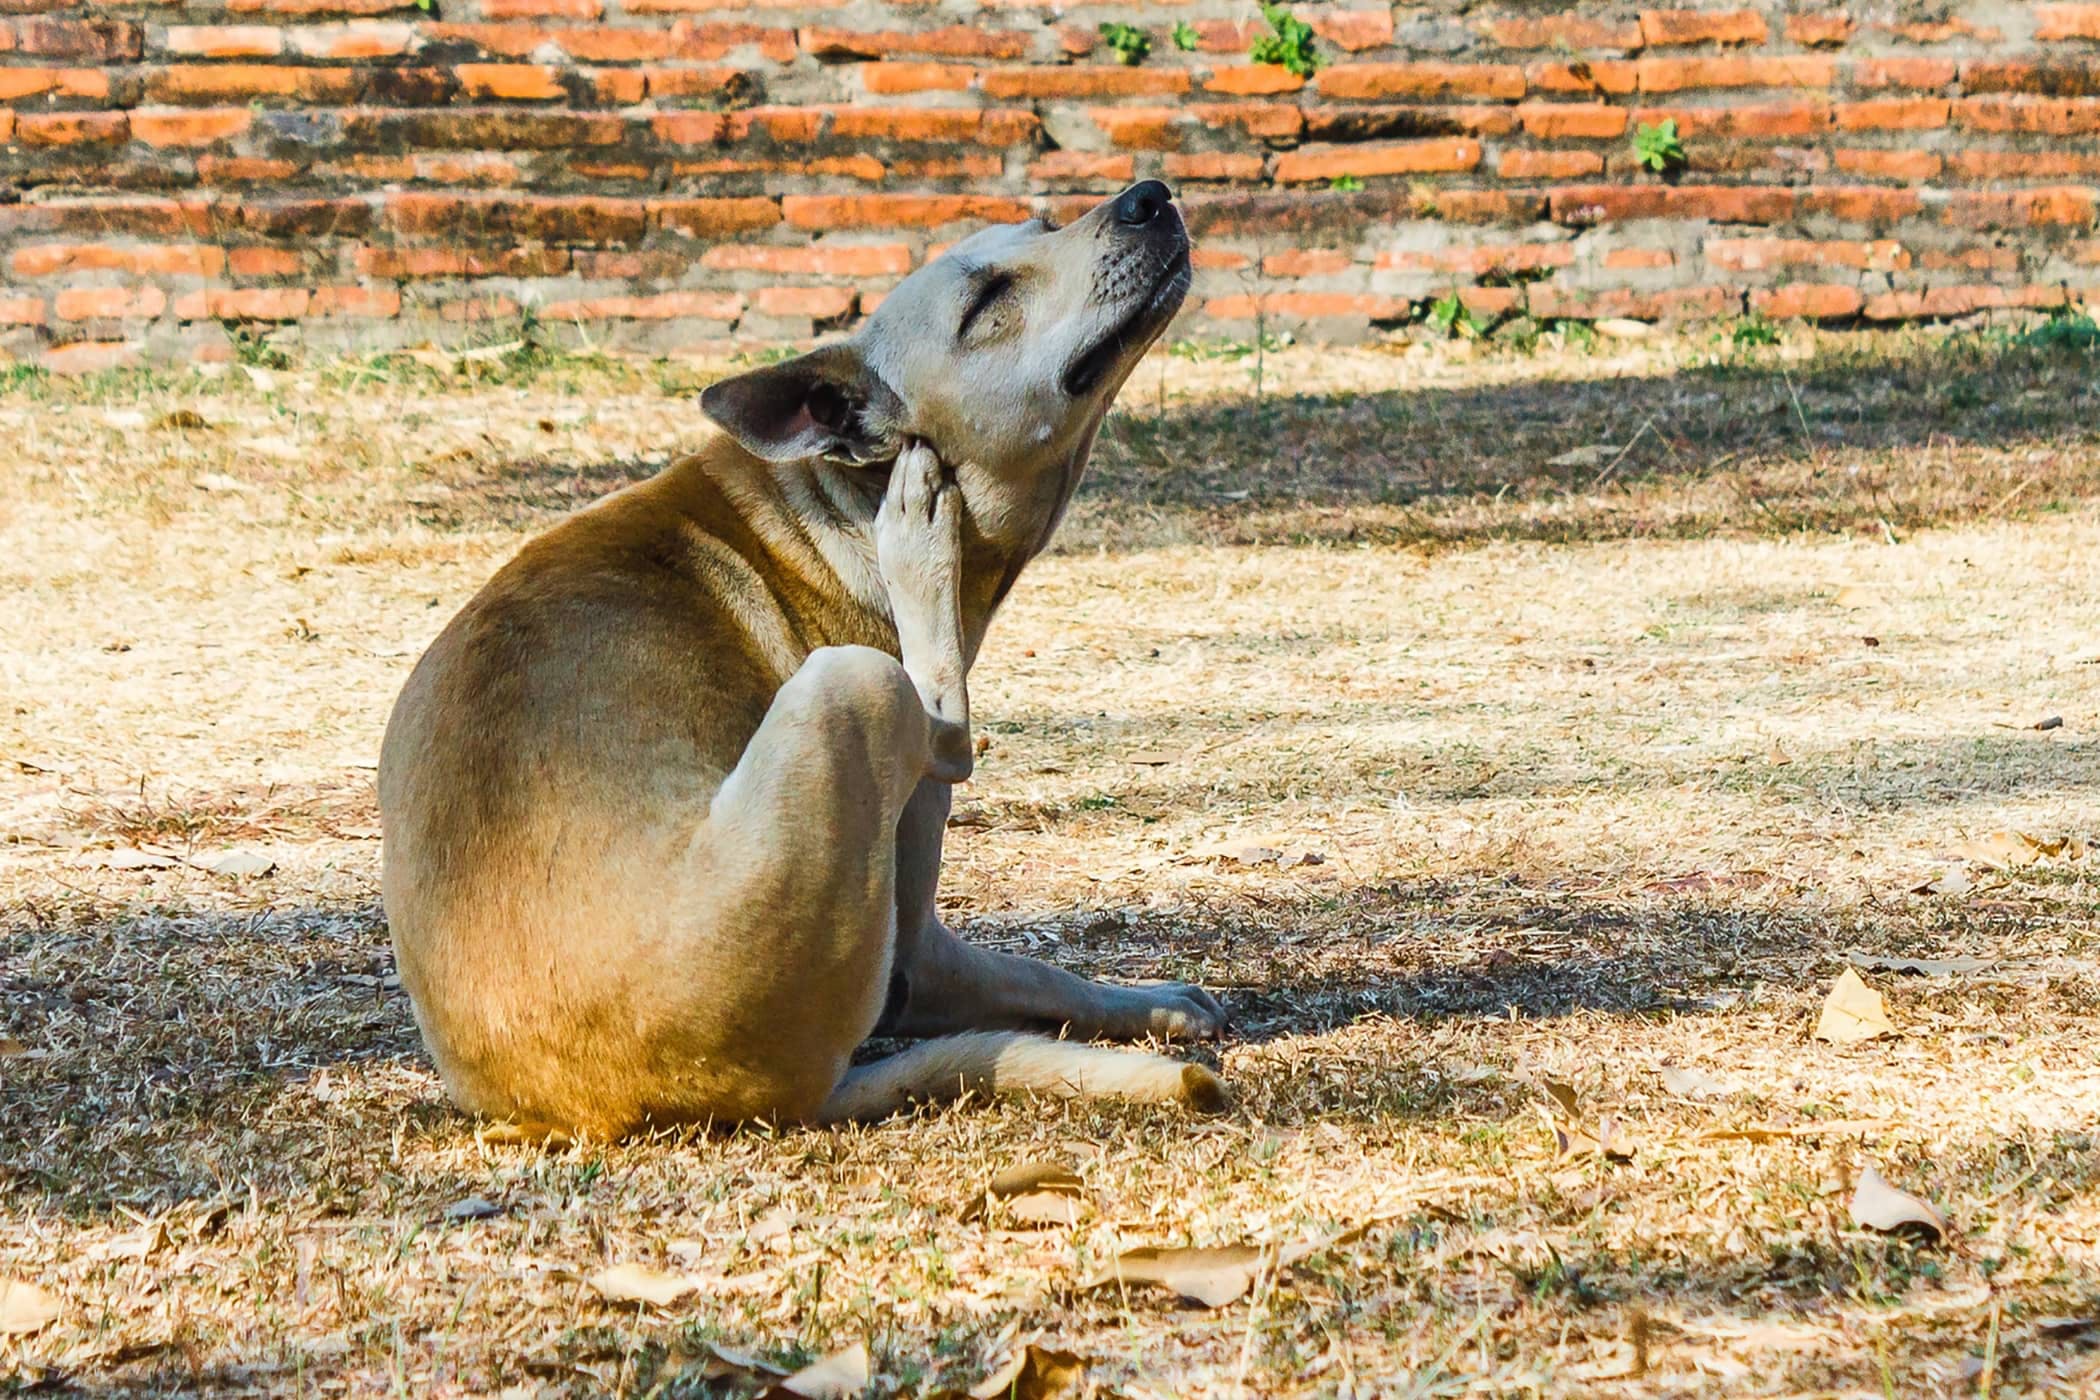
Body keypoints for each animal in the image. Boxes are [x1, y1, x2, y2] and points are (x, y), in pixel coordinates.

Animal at [380, 180, 1226, 1141]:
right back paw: (918, 549)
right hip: (855, 684)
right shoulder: (918, 954)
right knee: (945, 727)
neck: (833, 500)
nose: (1148, 196)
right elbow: (1036, 970)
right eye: (986, 302)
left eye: (1046, 226)